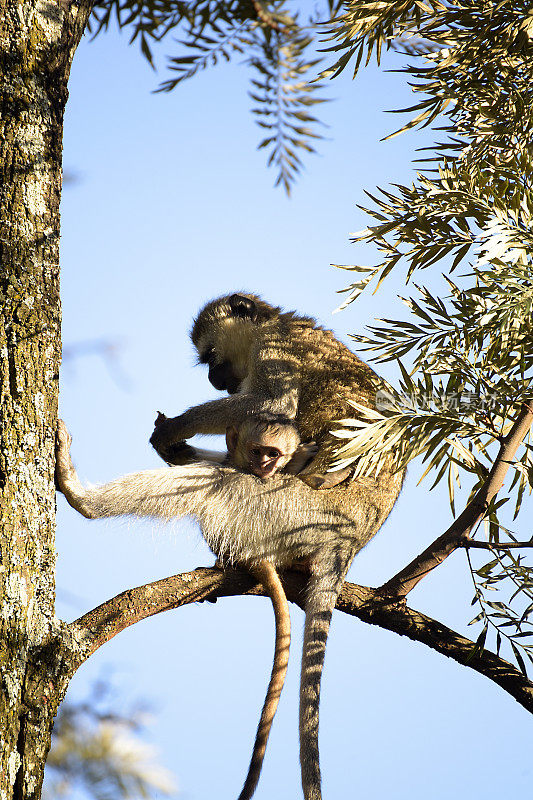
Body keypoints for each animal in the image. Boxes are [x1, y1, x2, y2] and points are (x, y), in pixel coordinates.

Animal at [56, 294, 402, 800]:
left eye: (210, 357)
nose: (212, 379)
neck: (275, 321)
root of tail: (349, 542)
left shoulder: (277, 349)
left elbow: (269, 404)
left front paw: (174, 429)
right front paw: (175, 446)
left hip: (290, 510)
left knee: (216, 484)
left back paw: (82, 496)